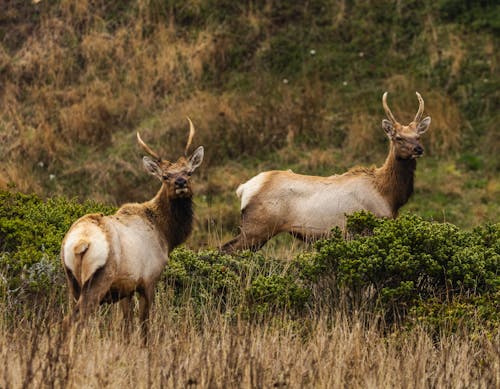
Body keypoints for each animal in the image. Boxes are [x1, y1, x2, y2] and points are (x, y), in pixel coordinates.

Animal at [61, 118, 203, 340]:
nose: (180, 182)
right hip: (98, 279)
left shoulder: (125, 288)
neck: (166, 235)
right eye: (165, 176)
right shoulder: (149, 280)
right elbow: (144, 326)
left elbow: (126, 326)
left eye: (189, 172)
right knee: (72, 321)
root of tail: (80, 242)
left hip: (72, 281)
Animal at [223, 92, 430, 253]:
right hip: (257, 227)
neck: (389, 196)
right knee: (226, 249)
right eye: (398, 137)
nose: (419, 149)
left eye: (418, 136)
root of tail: (244, 189)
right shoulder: (365, 228)